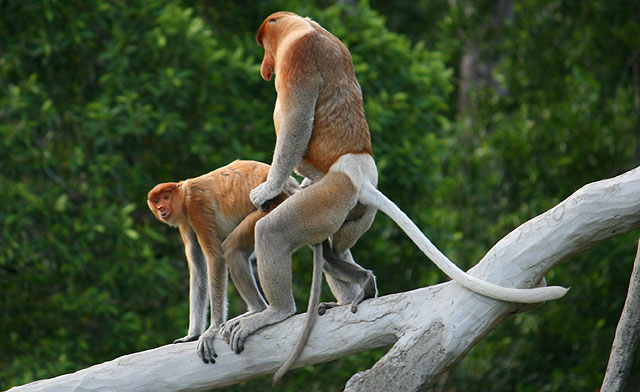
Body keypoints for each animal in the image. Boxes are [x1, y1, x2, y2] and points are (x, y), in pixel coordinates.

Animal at [148, 159, 302, 364]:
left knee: (232, 248)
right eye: (156, 200)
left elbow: (216, 258)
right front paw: (192, 335)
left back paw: (259, 310)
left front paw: (211, 330)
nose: (160, 209)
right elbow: (198, 271)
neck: (184, 194)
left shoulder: (196, 205)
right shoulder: (185, 222)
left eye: (165, 197)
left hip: (274, 204)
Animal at [218, 10, 568, 382]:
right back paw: (351, 295)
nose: (265, 67)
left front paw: (267, 189)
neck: (302, 27)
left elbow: (296, 124)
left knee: (274, 232)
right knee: (332, 250)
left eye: (265, 45)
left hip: (330, 196)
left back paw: (277, 311)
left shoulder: (301, 58)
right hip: (348, 210)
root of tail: (360, 177)